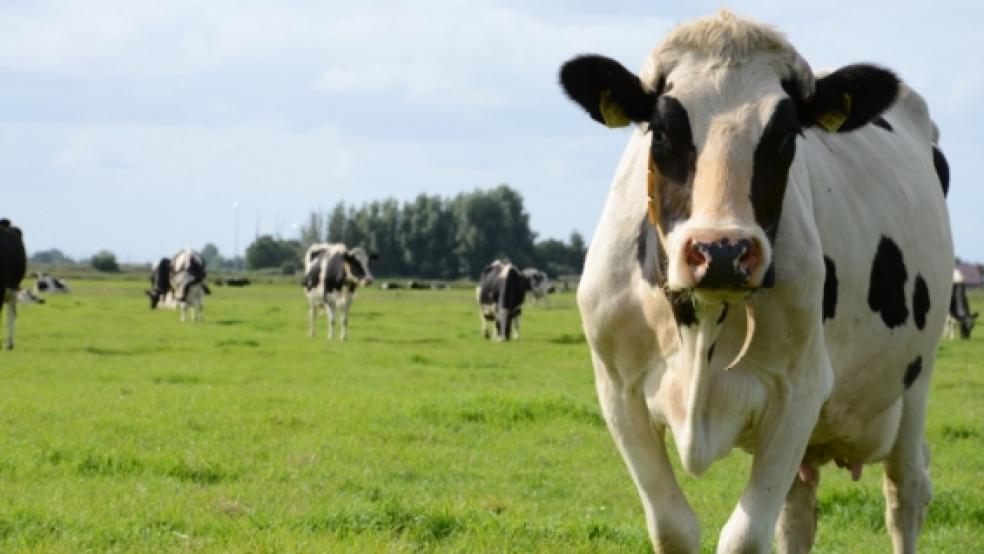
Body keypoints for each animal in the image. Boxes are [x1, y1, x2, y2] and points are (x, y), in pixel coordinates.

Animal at [560, 10, 952, 548]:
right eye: (660, 130)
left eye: (786, 134)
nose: (721, 251)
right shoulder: (619, 390)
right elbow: (673, 528)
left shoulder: (799, 392)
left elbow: (744, 537)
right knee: (798, 515)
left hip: (916, 380)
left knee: (905, 492)